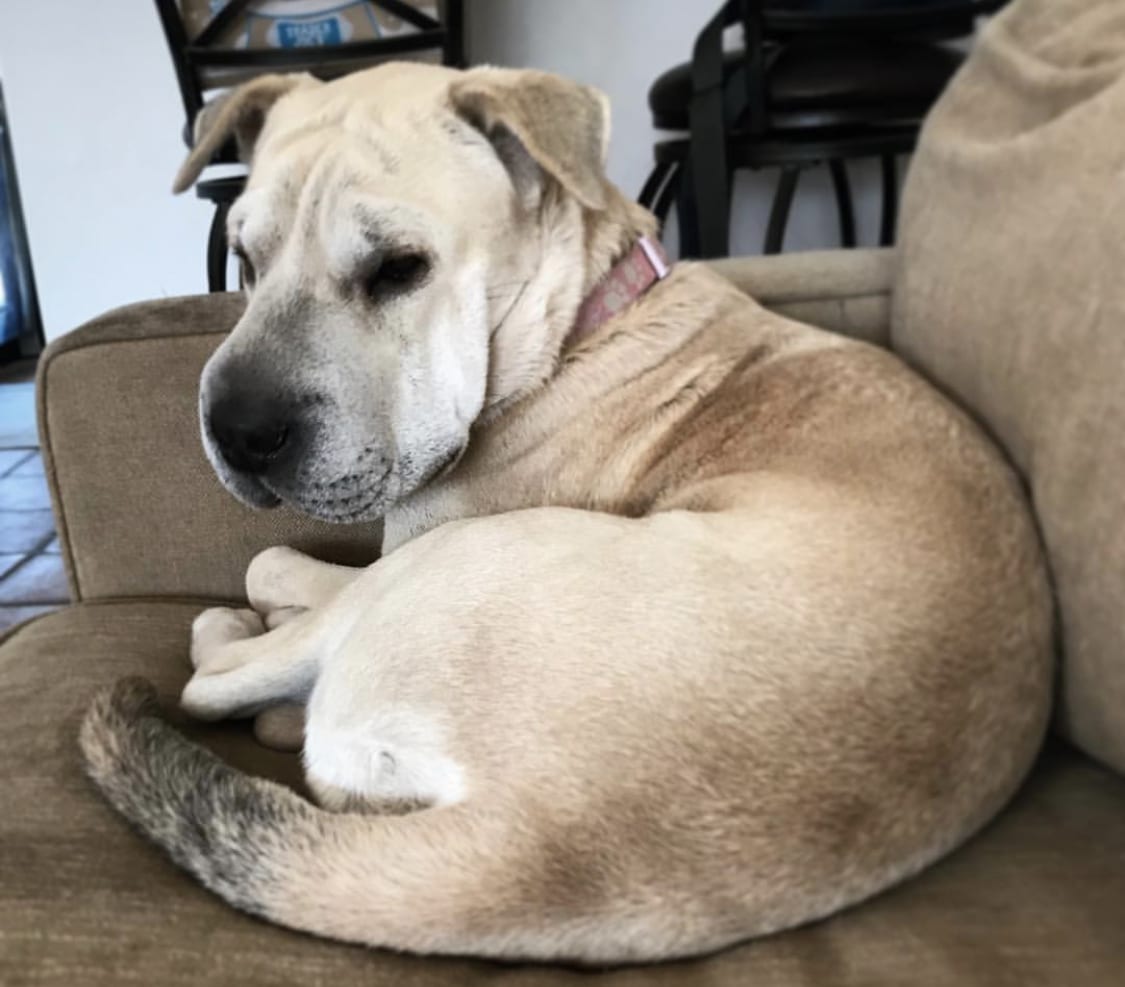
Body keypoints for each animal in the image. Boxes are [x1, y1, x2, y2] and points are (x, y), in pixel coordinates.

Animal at [79, 63, 1053, 963]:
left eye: (399, 269)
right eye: (244, 261)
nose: (237, 431)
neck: (577, 322)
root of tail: (545, 838)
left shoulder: (400, 545)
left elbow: (269, 562)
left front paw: (258, 606)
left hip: (442, 567)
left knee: (216, 680)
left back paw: (235, 642)